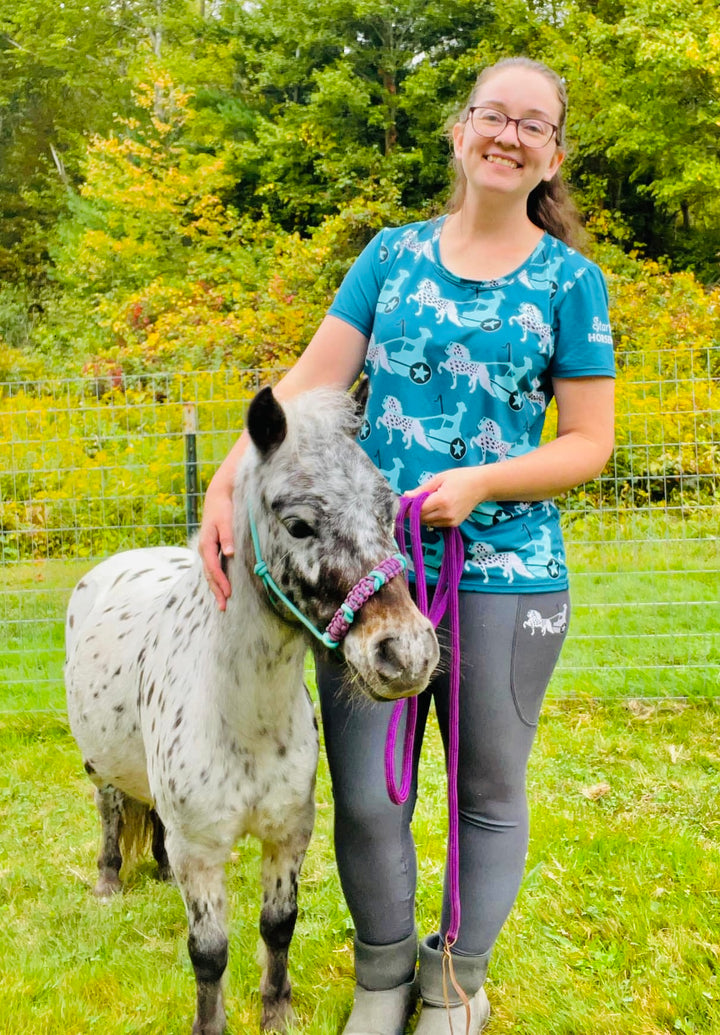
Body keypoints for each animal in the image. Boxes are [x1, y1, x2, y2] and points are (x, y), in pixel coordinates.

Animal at [66, 387, 438, 1035]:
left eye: (389, 511)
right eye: (298, 524)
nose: (406, 653)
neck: (242, 722)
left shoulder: (287, 833)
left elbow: (277, 926)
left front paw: (277, 1012)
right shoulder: (201, 853)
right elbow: (209, 953)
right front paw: (210, 1024)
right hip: (98, 766)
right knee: (111, 808)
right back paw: (109, 879)